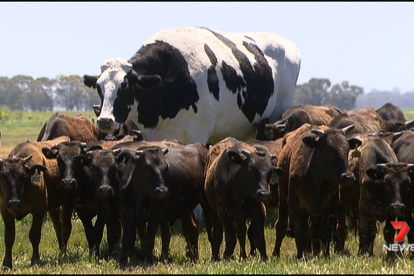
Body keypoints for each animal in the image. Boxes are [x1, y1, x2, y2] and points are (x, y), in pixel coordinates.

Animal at [274, 124, 360, 260]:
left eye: (347, 150)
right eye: (328, 150)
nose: (349, 176)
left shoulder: (328, 206)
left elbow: (324, 231)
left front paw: (325, 255)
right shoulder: (296, 206)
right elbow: (300, 231)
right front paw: (300, 257)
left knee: (313, 228)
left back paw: (314, 252)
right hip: (282, 197)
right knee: (281, 225)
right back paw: (276, 253)